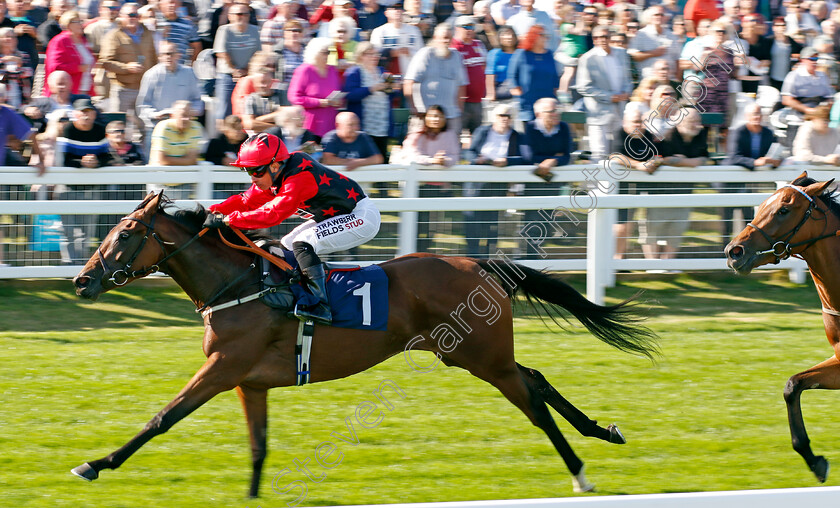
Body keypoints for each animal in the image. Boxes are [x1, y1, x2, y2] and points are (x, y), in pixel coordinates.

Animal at [72, 190, 660, 496]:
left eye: (125, 233)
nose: (81, 281)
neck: (239, 284)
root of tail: (479, 264)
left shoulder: (221, 370)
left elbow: (162, 418)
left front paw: (95, 463)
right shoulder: (247, 382)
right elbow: (258, 445)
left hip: (481, 357)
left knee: (533, 400)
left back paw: (579, 472)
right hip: (473, 353)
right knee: (536, 378)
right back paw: (601, 432)